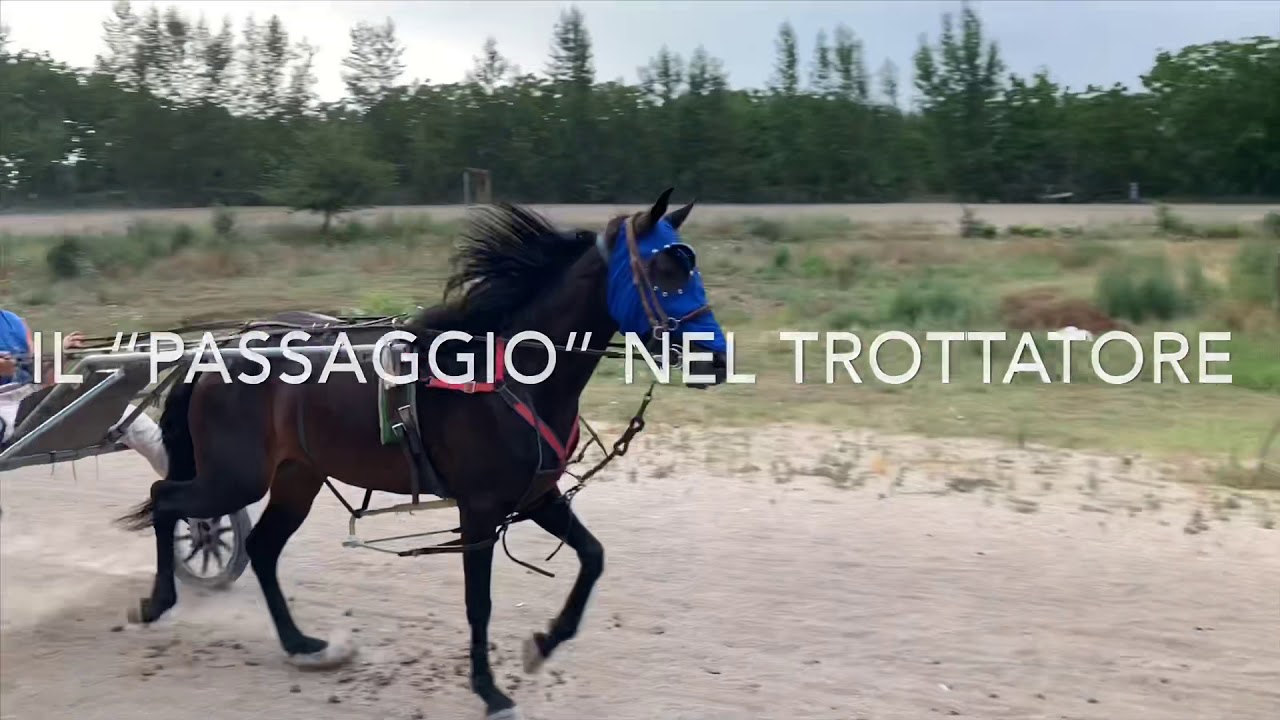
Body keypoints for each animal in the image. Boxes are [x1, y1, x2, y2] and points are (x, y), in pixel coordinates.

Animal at [115, 188, 730, 720]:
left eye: (690, 267)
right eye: (666, 270)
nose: (718, 357)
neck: (508, 375)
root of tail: (214, 355)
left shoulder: (537, 496)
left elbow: (594, 557)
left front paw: (543, 644)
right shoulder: (480, 512)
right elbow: (479, 604)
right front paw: (490, 692)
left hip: (296, 477)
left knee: (262, 547)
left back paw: (300, 642)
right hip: (235, 477)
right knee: (167, 499)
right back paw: (157, 601)